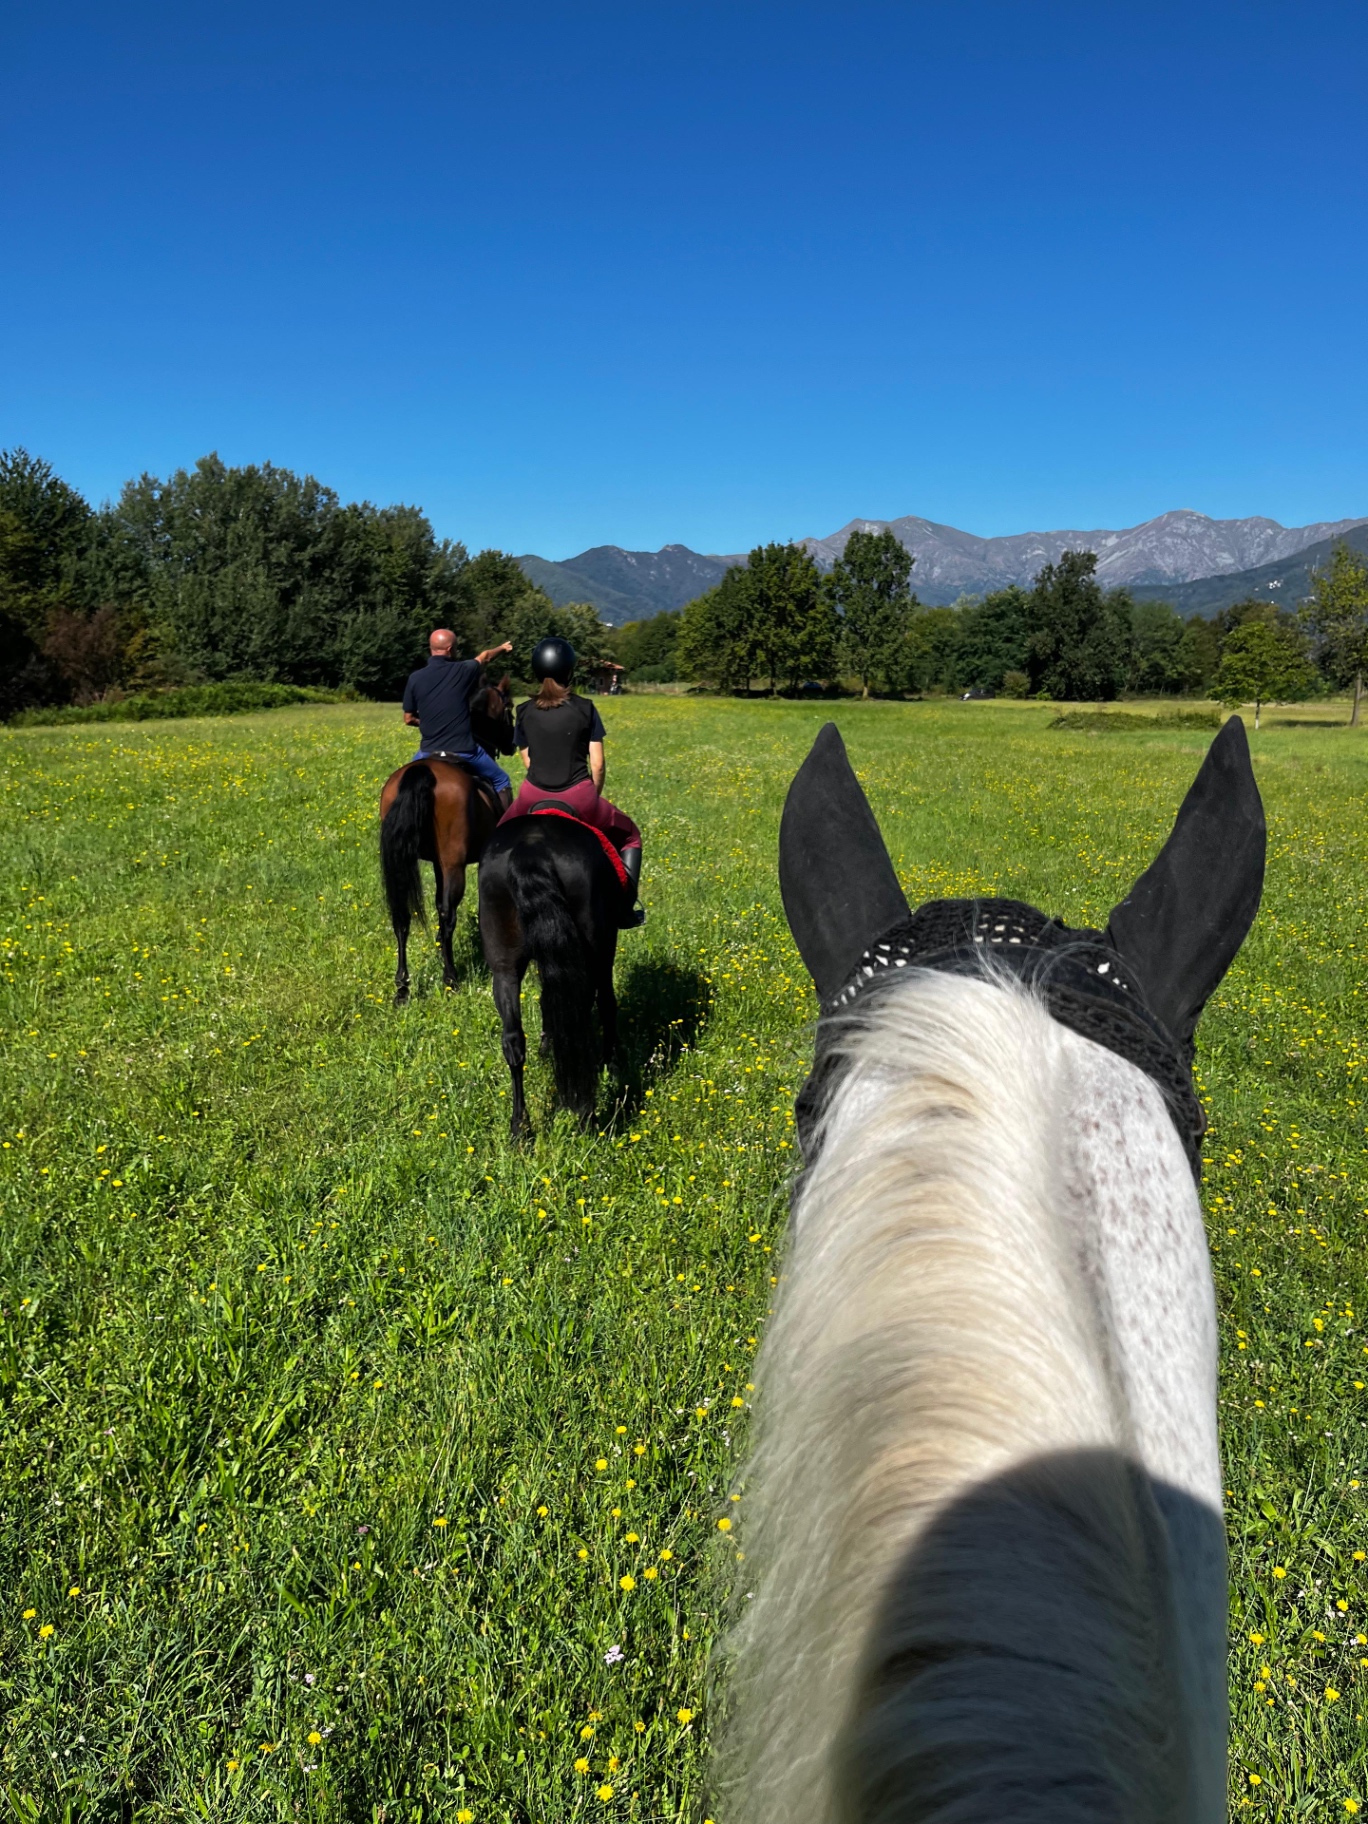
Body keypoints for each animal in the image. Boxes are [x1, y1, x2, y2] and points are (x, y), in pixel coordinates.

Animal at [378, 676, 514, 1003]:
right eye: (510, 708)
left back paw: (402, 986)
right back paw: (450, 978)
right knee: (447, 914)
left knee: (401, 916)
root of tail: (422, 771)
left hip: (406, 861)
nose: (512, 744)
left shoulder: (439, 865)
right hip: (454, 865)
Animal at [477, 809, 629, 1138]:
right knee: (582, 1018)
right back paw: (586, 1114)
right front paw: (612, 1063)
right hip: (596, 950)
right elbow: (606, 1003)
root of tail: (530, 847)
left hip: (504, 967)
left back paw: (520, 1128)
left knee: (513, 1040)